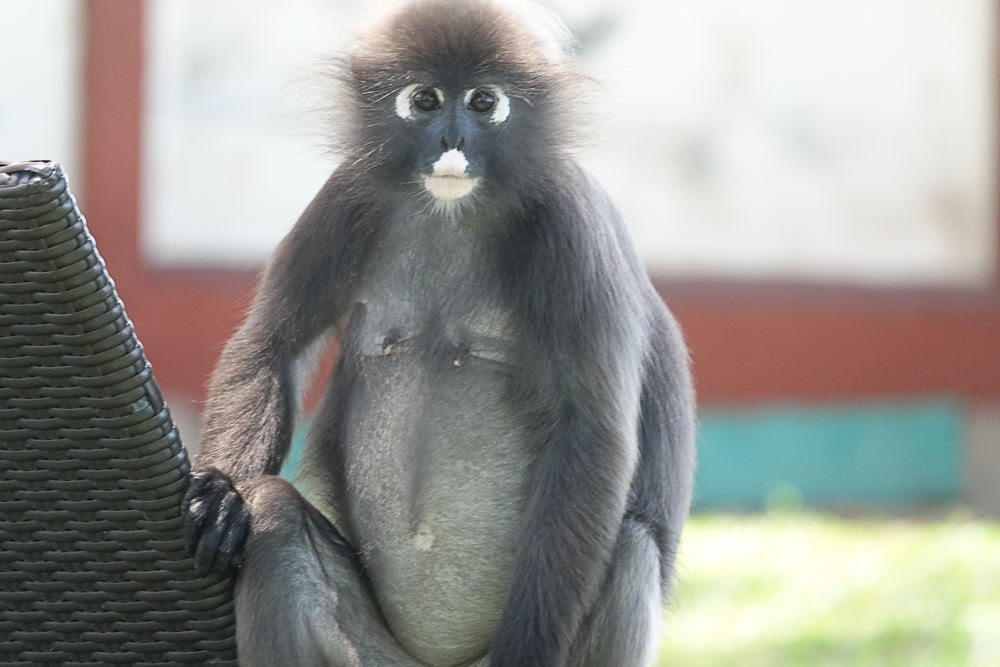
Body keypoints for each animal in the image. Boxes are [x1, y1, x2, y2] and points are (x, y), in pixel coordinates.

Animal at [181, 1, 695, 666]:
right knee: (270, 512)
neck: (451, 212)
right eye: (424, 99)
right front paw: (220, 493)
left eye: (483, 102)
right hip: (371, 652)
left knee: (631, 545)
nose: (452, 141)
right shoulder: (344, 194)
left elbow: (596, 433)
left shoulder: (572, 223)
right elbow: (273, 346)